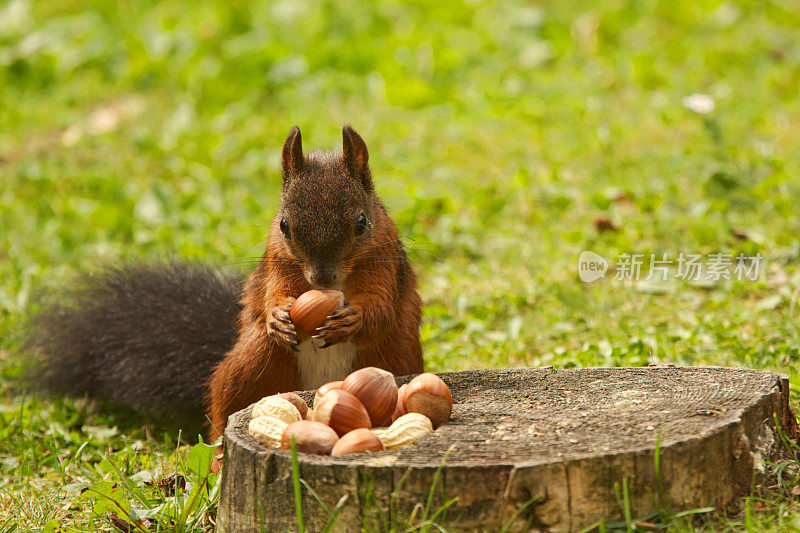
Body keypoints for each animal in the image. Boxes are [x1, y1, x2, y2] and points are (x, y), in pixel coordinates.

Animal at [27, 125, 422, 440]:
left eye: (361, 223)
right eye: (284, 225)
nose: (322, 278)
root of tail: (320, 389)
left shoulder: (386, 264)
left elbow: (381, 310)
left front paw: (352, 320)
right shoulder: (276, 262)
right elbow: (272, 294)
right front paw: (277, 317)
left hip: (394, 361)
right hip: (251, 367)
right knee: (225, 406)